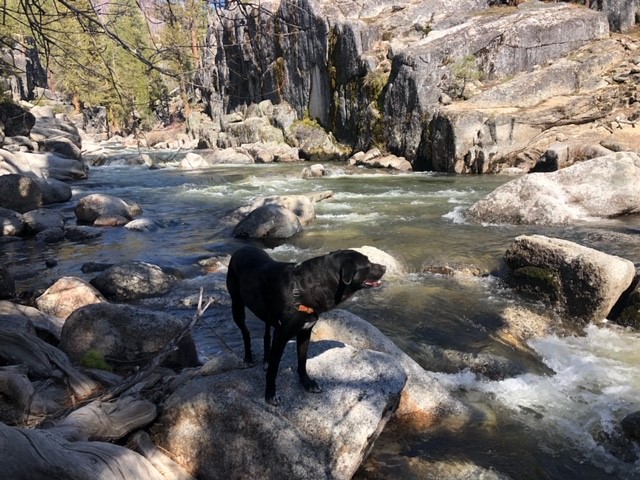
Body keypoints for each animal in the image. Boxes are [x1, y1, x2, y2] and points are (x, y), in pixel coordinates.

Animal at [226, 246, 384, 404]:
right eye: (368, 264)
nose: (384, 267)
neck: (303, 289)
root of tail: (241, 248)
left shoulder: (305, 332)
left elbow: (302, 361)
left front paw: (307, 383)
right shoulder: (281, 335)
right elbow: (274, 369)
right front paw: (270, 394)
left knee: (266, 334)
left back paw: (266, 360)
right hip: (237, 306)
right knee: (246, 333)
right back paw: (248, 358)